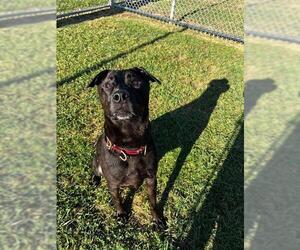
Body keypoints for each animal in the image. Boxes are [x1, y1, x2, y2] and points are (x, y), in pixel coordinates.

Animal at [88, 67, 164, 226]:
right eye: (107, 85)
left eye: (136, 82)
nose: (120, 96)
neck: (129, 145)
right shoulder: (113, 184)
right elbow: (117, 200)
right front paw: (122, 214)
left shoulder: (152, 178)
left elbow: (153, 201)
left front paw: (157, 218)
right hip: (96, 161)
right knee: (96, 171)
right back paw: (95, 180)